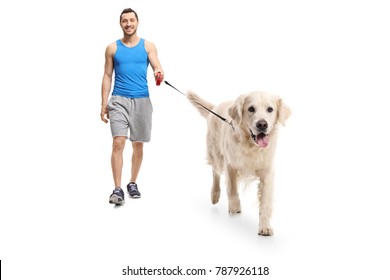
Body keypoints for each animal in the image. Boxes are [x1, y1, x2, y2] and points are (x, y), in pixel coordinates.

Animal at [187, 89, 290, 234]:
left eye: (270, 109)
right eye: (251, 108)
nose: (262, 124)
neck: (251, 146)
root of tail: (215, 107)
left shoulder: (267, 172)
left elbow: (265, 202)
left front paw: (265, 227)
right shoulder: (231, 165)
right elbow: (232, 190)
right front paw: (235, 207)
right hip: (216, 153)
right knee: (215, 173)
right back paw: (214, 194)